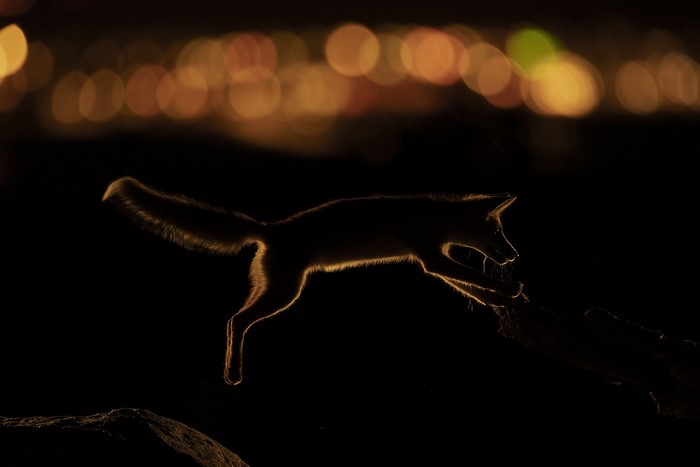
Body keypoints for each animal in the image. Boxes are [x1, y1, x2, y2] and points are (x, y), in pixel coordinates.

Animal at [103, 177, 523, 385]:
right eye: (499, 233)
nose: (514, 255)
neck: (435, 215)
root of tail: (269, 228)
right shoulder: (433, 258)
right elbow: (472, 278)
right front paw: (509, 289)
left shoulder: (432, 260)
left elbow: (473, 289)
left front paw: (501, 300)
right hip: (285, 293)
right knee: (235, 320)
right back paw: (233, 374)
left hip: (276, 289)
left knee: (234, 320)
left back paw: (230, 372)